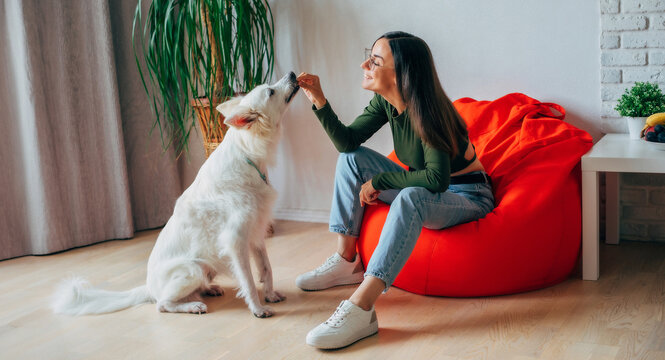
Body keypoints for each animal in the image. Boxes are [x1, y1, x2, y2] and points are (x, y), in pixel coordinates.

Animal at [53, 72, 300, 318]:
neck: (247, 154)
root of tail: (148, 288)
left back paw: (209, 290)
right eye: (270, 91)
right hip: (193, 268)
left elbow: (266, 268)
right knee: (163, 304)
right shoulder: (235, 239)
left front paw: (270, 295)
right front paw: (258, 308)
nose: (292, 74)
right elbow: (248, 280)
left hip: (205, 268)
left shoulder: (256, 231)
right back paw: (193, 306)